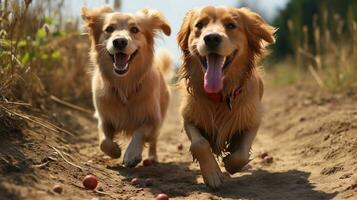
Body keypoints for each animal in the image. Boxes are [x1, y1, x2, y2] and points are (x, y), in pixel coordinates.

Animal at [80, 5, 171, 167]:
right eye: (109, 29)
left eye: (134, 29)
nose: (120, 42)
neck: (124, 85)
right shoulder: (104, 118)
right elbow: (103, 141)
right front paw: (115, 150)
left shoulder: (153, 119)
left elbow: (140, 132)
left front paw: (131, 154)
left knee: (153, 141)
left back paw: (152, 158)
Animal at [177, 5, 274, 188]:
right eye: (199, 25)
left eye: (231, 25)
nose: (212, 38)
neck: (220, 95)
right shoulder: (189, 118)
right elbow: (199, 143)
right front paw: (212, 174)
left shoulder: (253, 120)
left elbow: (241, 154)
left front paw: (229, 162)